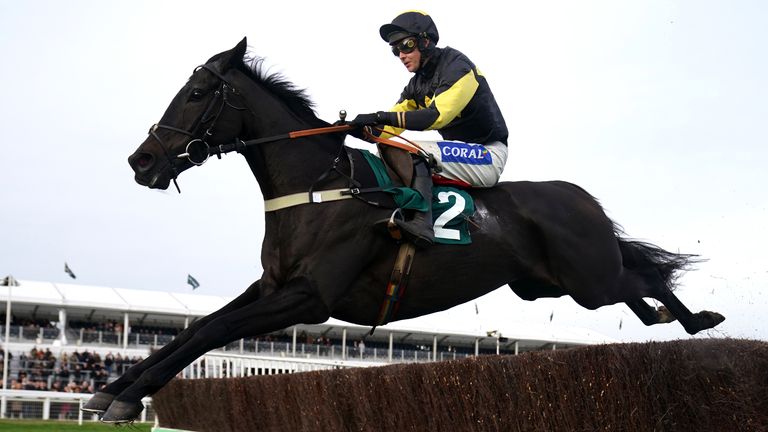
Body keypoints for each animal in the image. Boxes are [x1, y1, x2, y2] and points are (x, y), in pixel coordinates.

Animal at [87, 37, 724, 422]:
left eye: (196, 93)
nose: (142, 161)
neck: (320, 185)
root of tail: (580, 197)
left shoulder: (310, 297)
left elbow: (212, 332)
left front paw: (123, 397)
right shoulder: (272, 286)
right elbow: (198, 328)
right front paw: (116, 390)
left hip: (588, 280)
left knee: (646, 277)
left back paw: (698, 319)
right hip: (549, 283)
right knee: (639, 282)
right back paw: (671, 318)